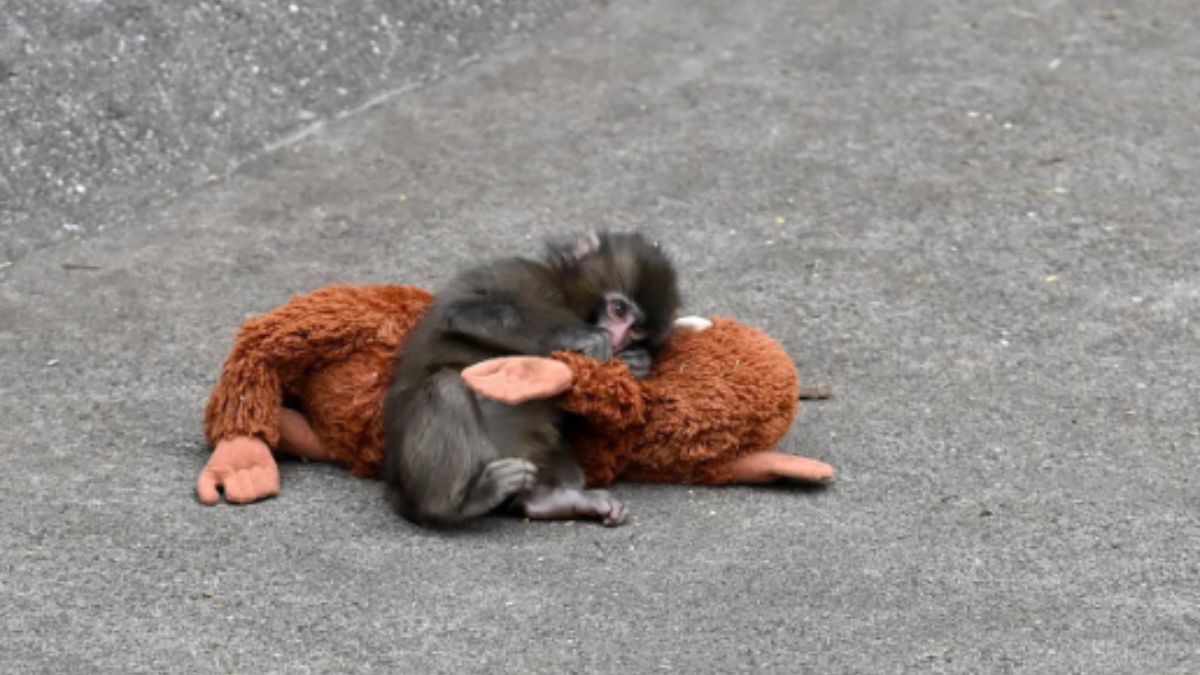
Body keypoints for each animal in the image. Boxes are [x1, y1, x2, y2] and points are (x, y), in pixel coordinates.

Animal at [382, 232, 681, 527]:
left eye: (636, 329)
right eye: (618, 309)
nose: (618, 339)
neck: (563, 295)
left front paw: (639, 362)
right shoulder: (519, 274)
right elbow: (463, 311)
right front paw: (581, 335)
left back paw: (547, 501)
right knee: (446, 388)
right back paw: (456, 504)